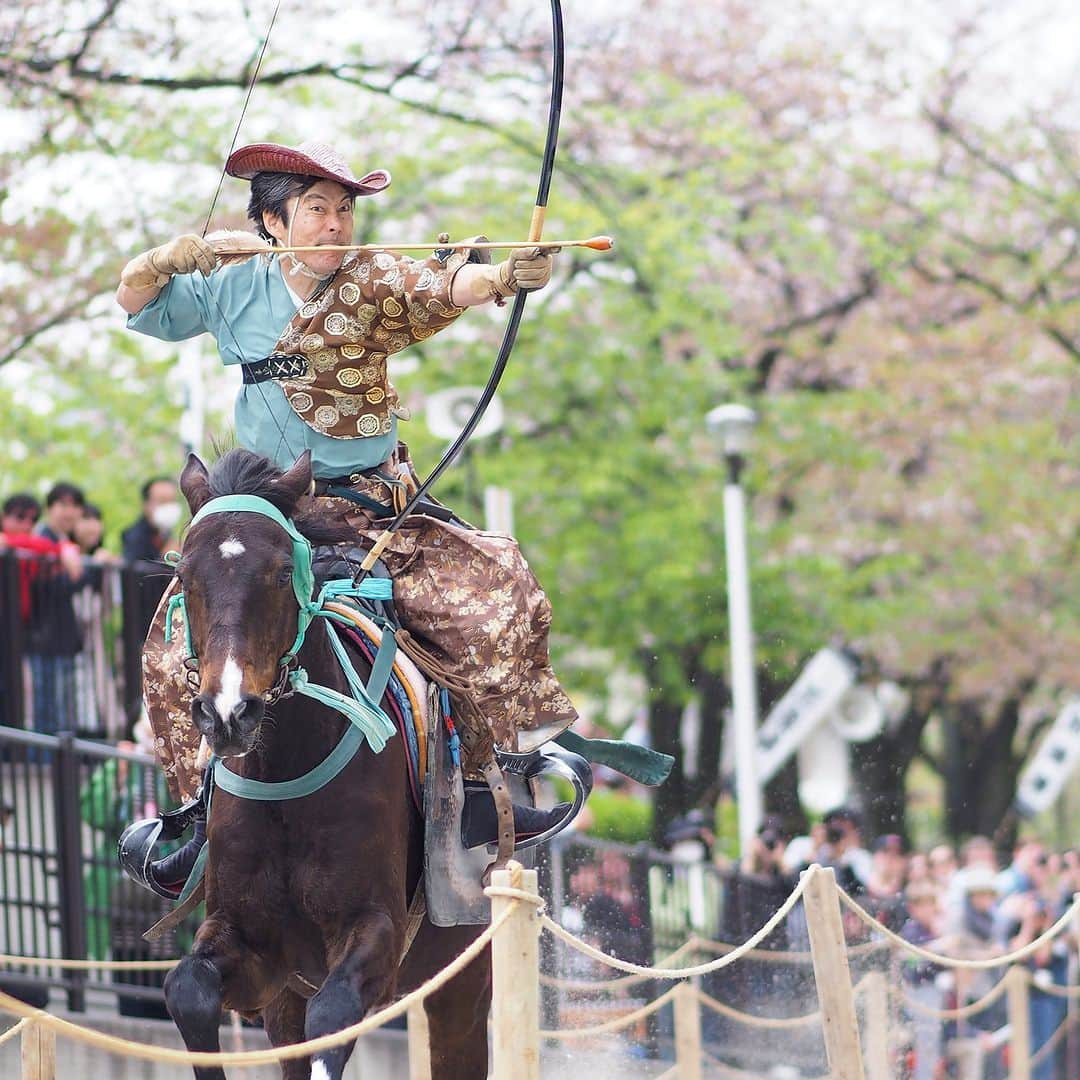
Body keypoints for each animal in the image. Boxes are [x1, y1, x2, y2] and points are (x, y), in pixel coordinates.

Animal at [164, 447, 490, 1080]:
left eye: (277, 575)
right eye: (186, 576)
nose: (228, 712)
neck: (288, 777)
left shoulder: (376, 930)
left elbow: (334, 1014)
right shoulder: (253, 947)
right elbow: (187, 988)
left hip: (461, 968)